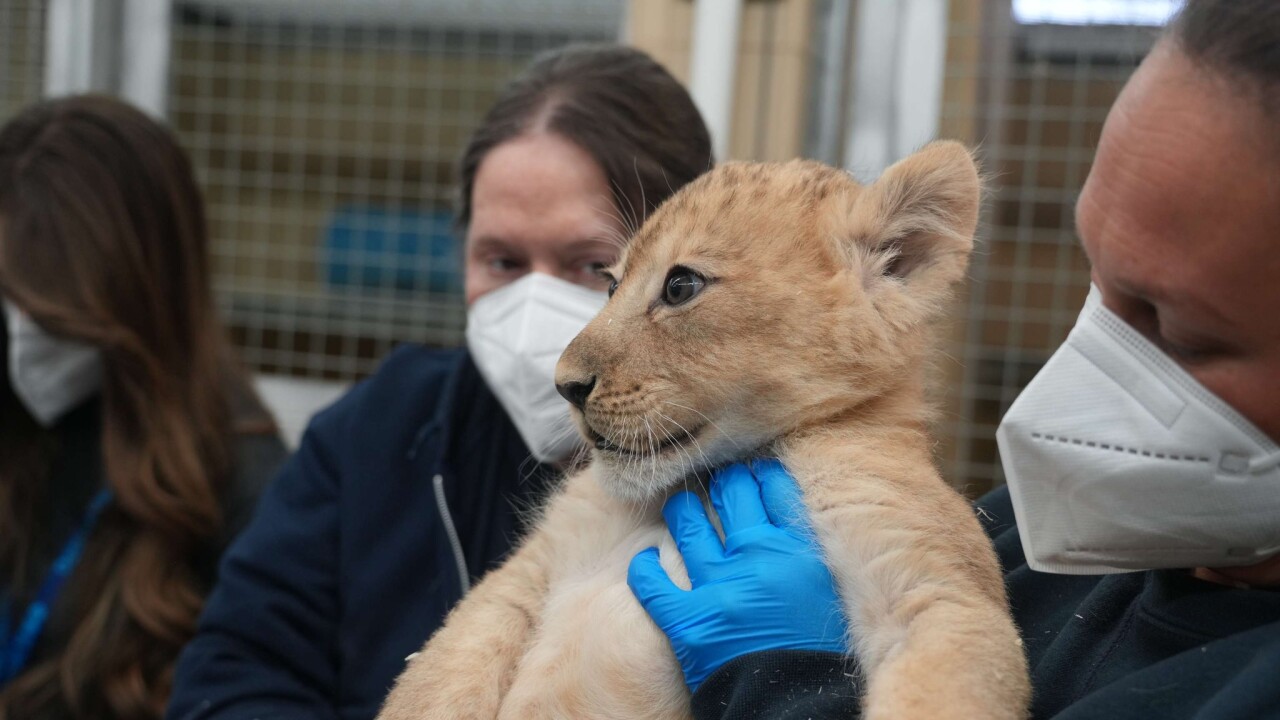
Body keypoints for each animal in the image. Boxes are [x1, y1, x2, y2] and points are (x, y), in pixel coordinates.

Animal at [377, 141, 1030, 720]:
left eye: (681, 286)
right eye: (610, 284)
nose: (564, 385)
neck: (698, 481)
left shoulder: (929, 587)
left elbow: (938, 682)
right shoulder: (524, 573)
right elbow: (436, 676)